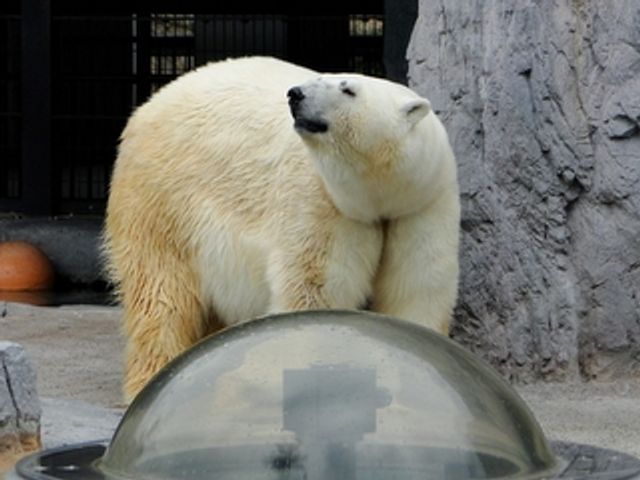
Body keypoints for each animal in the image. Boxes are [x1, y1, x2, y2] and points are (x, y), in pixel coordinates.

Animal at [102, 57, 458, 402]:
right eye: (325, 76)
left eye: (348, 89)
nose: (295, 94)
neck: (380, 196)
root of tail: (153, 101)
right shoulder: (321, 200)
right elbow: (316, 290)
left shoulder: (422, 206)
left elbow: (416, 287)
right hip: (162, 198)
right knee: (161, 293)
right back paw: (153, 377)